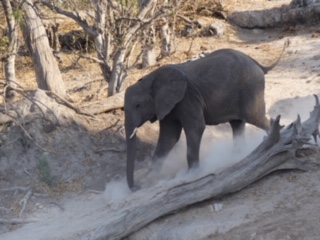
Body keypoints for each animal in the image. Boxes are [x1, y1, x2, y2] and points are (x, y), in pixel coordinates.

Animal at [124, 42, 288, 190]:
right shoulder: (167, 106)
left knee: (255, 117)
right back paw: (237, 155)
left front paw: (191, 174)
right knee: (237, 124)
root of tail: (258, 64)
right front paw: (149, 179)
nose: (136, 187)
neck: (150, 78)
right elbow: (168, 137)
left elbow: (195, 128)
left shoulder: (186, 98)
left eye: (138, 105)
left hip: (251, 87)